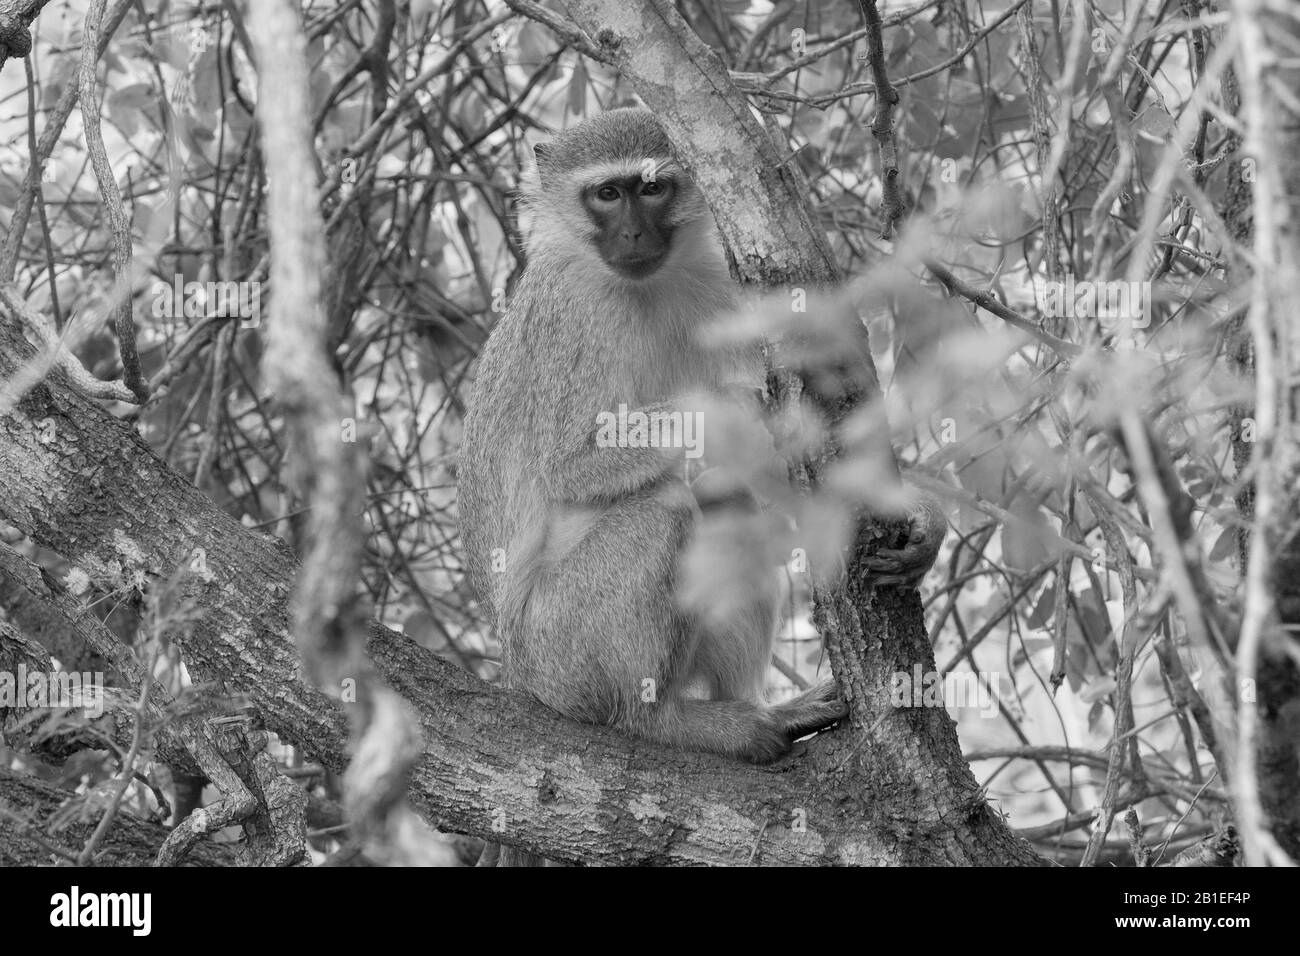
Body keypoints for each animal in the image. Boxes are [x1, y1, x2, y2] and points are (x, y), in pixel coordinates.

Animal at [457, 109, 944, 825]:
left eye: (652, 188)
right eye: (607, 194)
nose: (633, 232)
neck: (637, 287)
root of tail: (518, 673)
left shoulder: (713, 284)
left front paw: (916, 516)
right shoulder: (567, 319)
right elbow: (565, 464)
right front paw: (743, 414)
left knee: (729, 510)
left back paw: (765, 709)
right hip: (560, 652)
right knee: (665, 510)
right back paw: (661, 720)